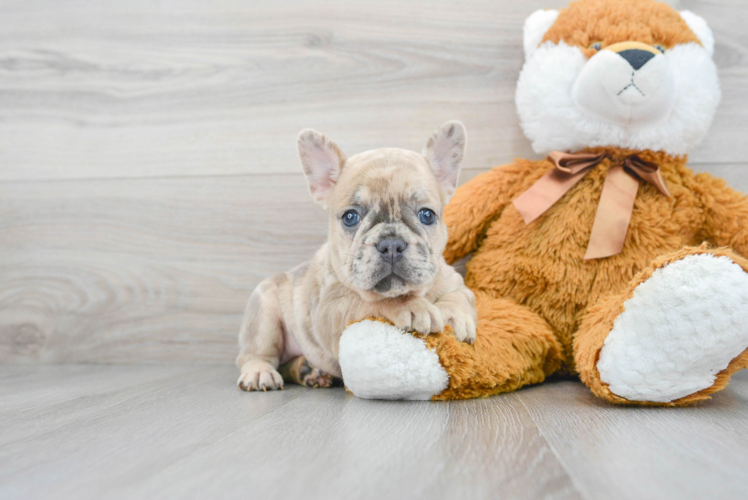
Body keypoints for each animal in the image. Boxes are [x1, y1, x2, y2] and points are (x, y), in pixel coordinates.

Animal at [237, 121, 476, 390]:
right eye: (350, 217)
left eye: (427, 215)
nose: (391, 244)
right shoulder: (332, 309)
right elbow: (375, 301)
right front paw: (412, 307)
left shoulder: (457, 283)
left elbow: (459, 296)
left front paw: (455, 317)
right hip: (264, 312)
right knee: (256, 355)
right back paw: (261, 372)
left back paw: (309, 370)